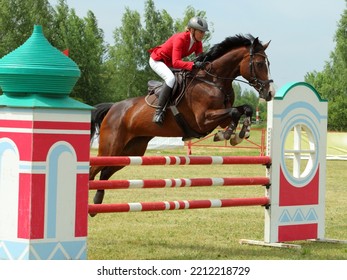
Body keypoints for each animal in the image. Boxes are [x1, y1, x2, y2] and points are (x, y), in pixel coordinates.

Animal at [89, 34, 274, 213]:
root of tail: (113, 108)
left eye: (268, 63)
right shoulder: (203, 119)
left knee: (105, 173)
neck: (213, 81)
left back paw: (96, 203)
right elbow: (235, 112)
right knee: (93, 170)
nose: (269, 93)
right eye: (259, 64)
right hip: (111, 148)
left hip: (132, 151)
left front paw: (241, 134)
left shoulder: (222, 119)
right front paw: (228, 135)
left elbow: (245, 109)